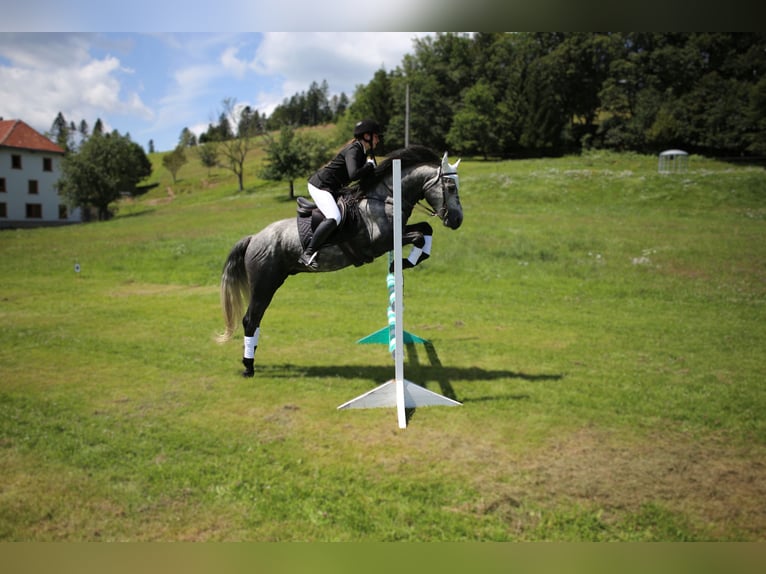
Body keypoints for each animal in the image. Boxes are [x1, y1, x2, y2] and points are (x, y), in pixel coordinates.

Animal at [219, 145, 464, 378]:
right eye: (451, 187)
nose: (457, 220)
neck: (386, 199)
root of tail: (253, 238)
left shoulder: (399, 233)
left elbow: (425, 229)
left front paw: (409, 261)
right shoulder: (380, 243)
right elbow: (419, 235)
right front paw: (400, 264)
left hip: (272, 283)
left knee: (257, 319)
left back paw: (252, 356)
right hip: (263, 284)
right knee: (250, 319)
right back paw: (248, 366)